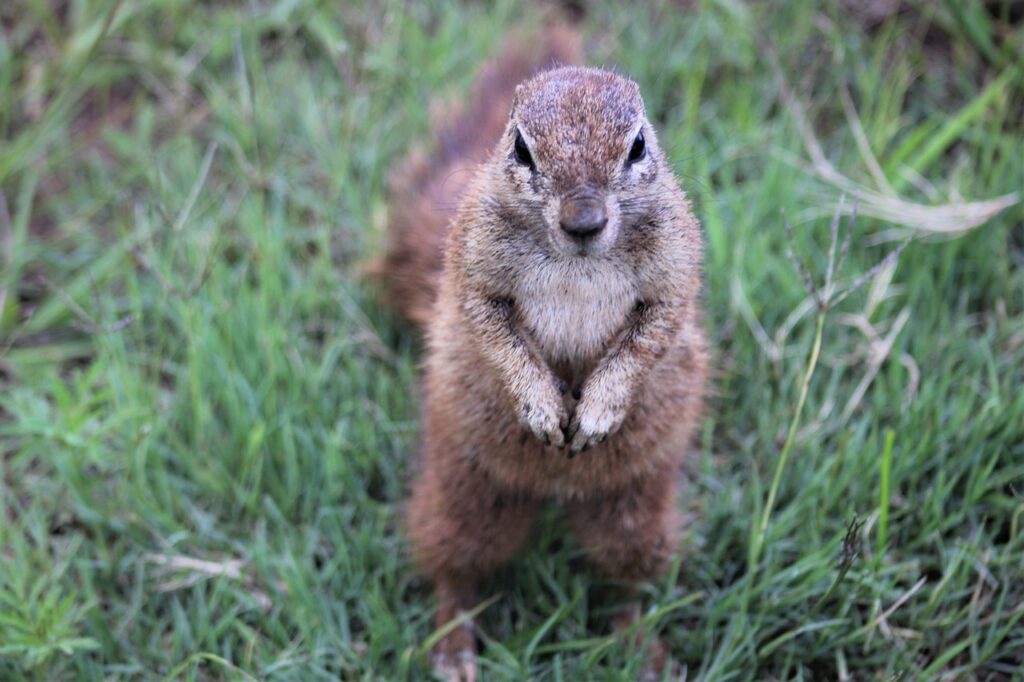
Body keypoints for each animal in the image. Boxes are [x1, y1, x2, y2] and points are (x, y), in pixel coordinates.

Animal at [374, 20, 709, 681]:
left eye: (637, 146)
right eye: (522, 149)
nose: (584, 220)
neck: (577, 260)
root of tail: (557, 489)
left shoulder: (675, 267)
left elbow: (652, 333)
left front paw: (599, 408)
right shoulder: (473, 263)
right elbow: (492, 329)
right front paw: (540, 405)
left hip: (635, 509)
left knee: (623, 576)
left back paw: (642, 646)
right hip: (467, 486)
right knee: (454, 563)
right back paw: (454, 645)